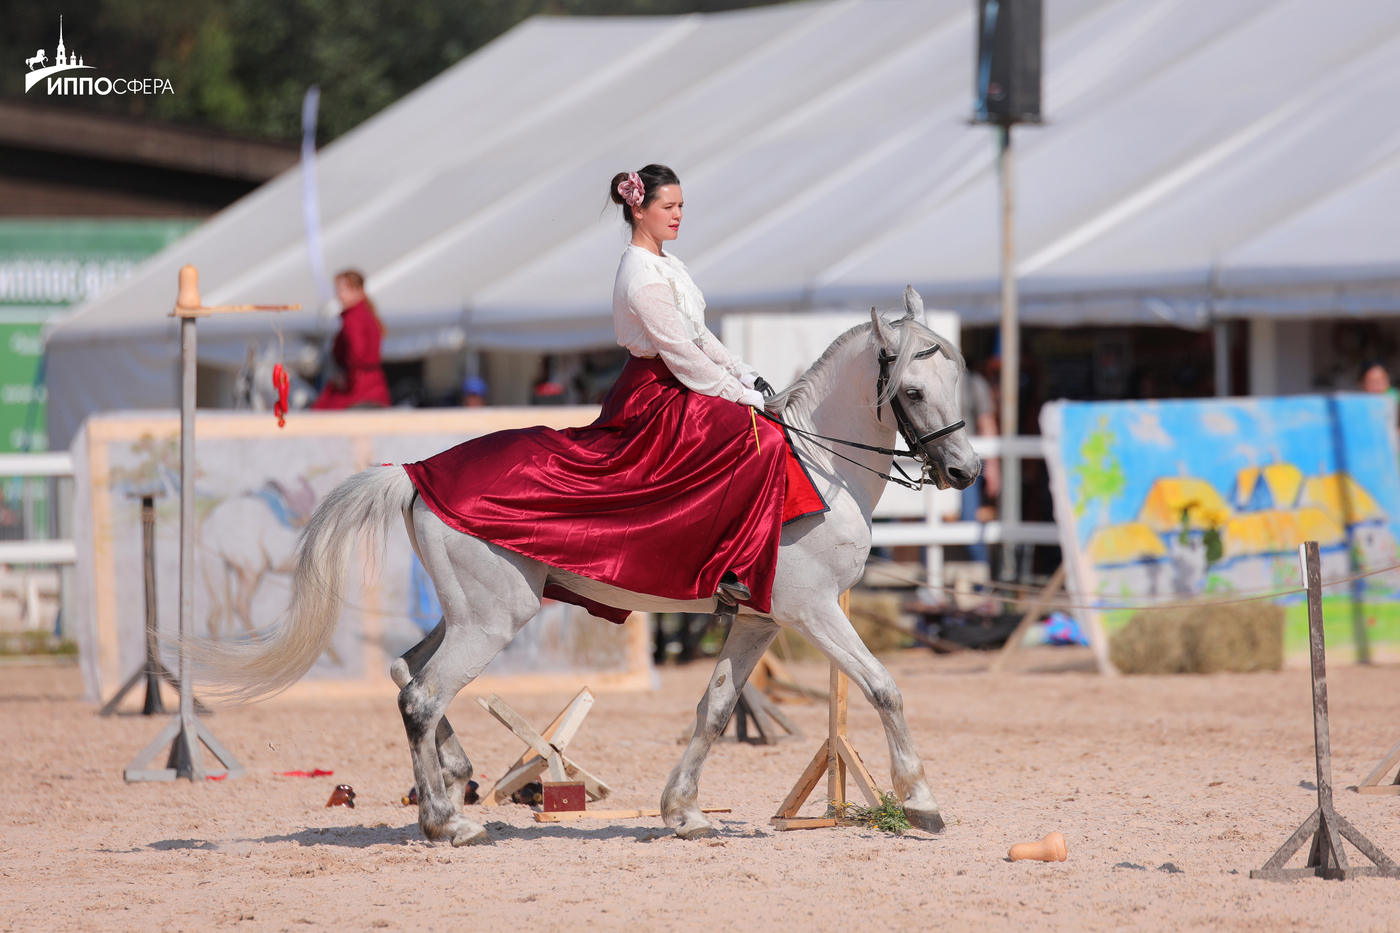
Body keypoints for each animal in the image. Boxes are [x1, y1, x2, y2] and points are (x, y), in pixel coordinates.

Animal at [200, 287, 985, 846]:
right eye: (914, 392)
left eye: (960, 382)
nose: (965, 472)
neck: (816, 466)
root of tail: (417, 474)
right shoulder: (812, 611)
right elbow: (884, 689)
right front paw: (921, 803)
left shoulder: (760, 622)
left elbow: (714, 711)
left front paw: (682, 812)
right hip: (494, 619)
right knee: (423, 695)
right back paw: (446, 822)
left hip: (473, 614)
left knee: (407, 673)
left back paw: (455, 779)